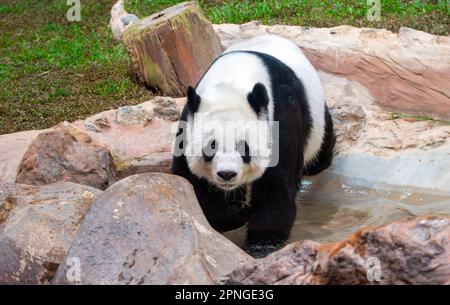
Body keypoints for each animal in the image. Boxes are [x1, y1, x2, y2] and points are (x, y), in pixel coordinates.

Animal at [172, 33, 334, 256]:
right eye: (211, 147)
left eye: (243, 147)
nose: (227, 174)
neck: (231, 83)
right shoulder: (189, 122)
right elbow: (193, 185)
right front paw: (238, 215)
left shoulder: (279, 116)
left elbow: (275, 185)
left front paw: (261, 244)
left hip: (316, 119)